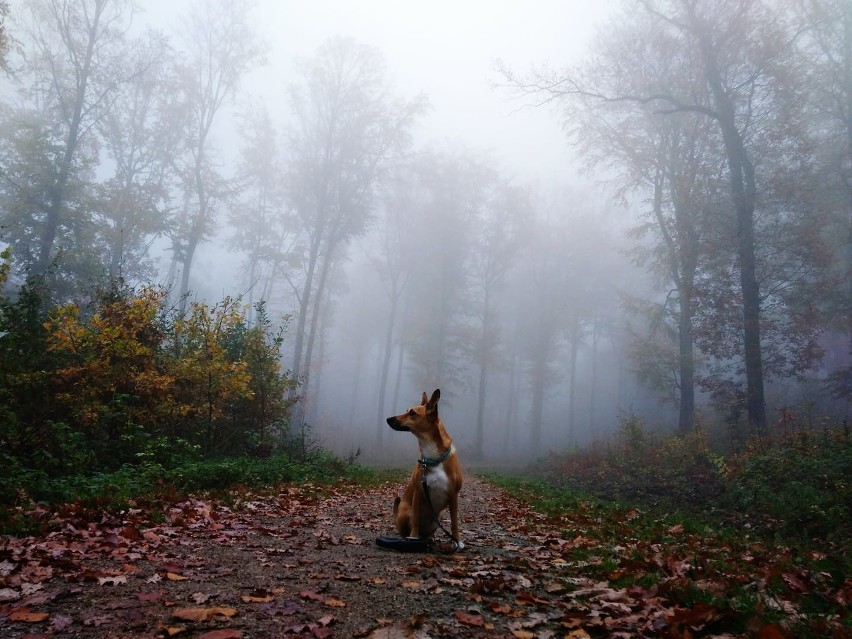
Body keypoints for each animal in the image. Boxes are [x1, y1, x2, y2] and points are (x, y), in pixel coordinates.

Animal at [388, 390, 466, 552]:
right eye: (407, 411)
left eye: (412, 413)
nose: (388, 419)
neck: (433, 458)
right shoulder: (419, 492)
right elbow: (416, 521)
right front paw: (413, 538)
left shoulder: (453, 495)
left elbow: (454, 522)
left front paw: (457, 541)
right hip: (405, 511)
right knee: (407, 528)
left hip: (439, 515)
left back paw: (429, 539)